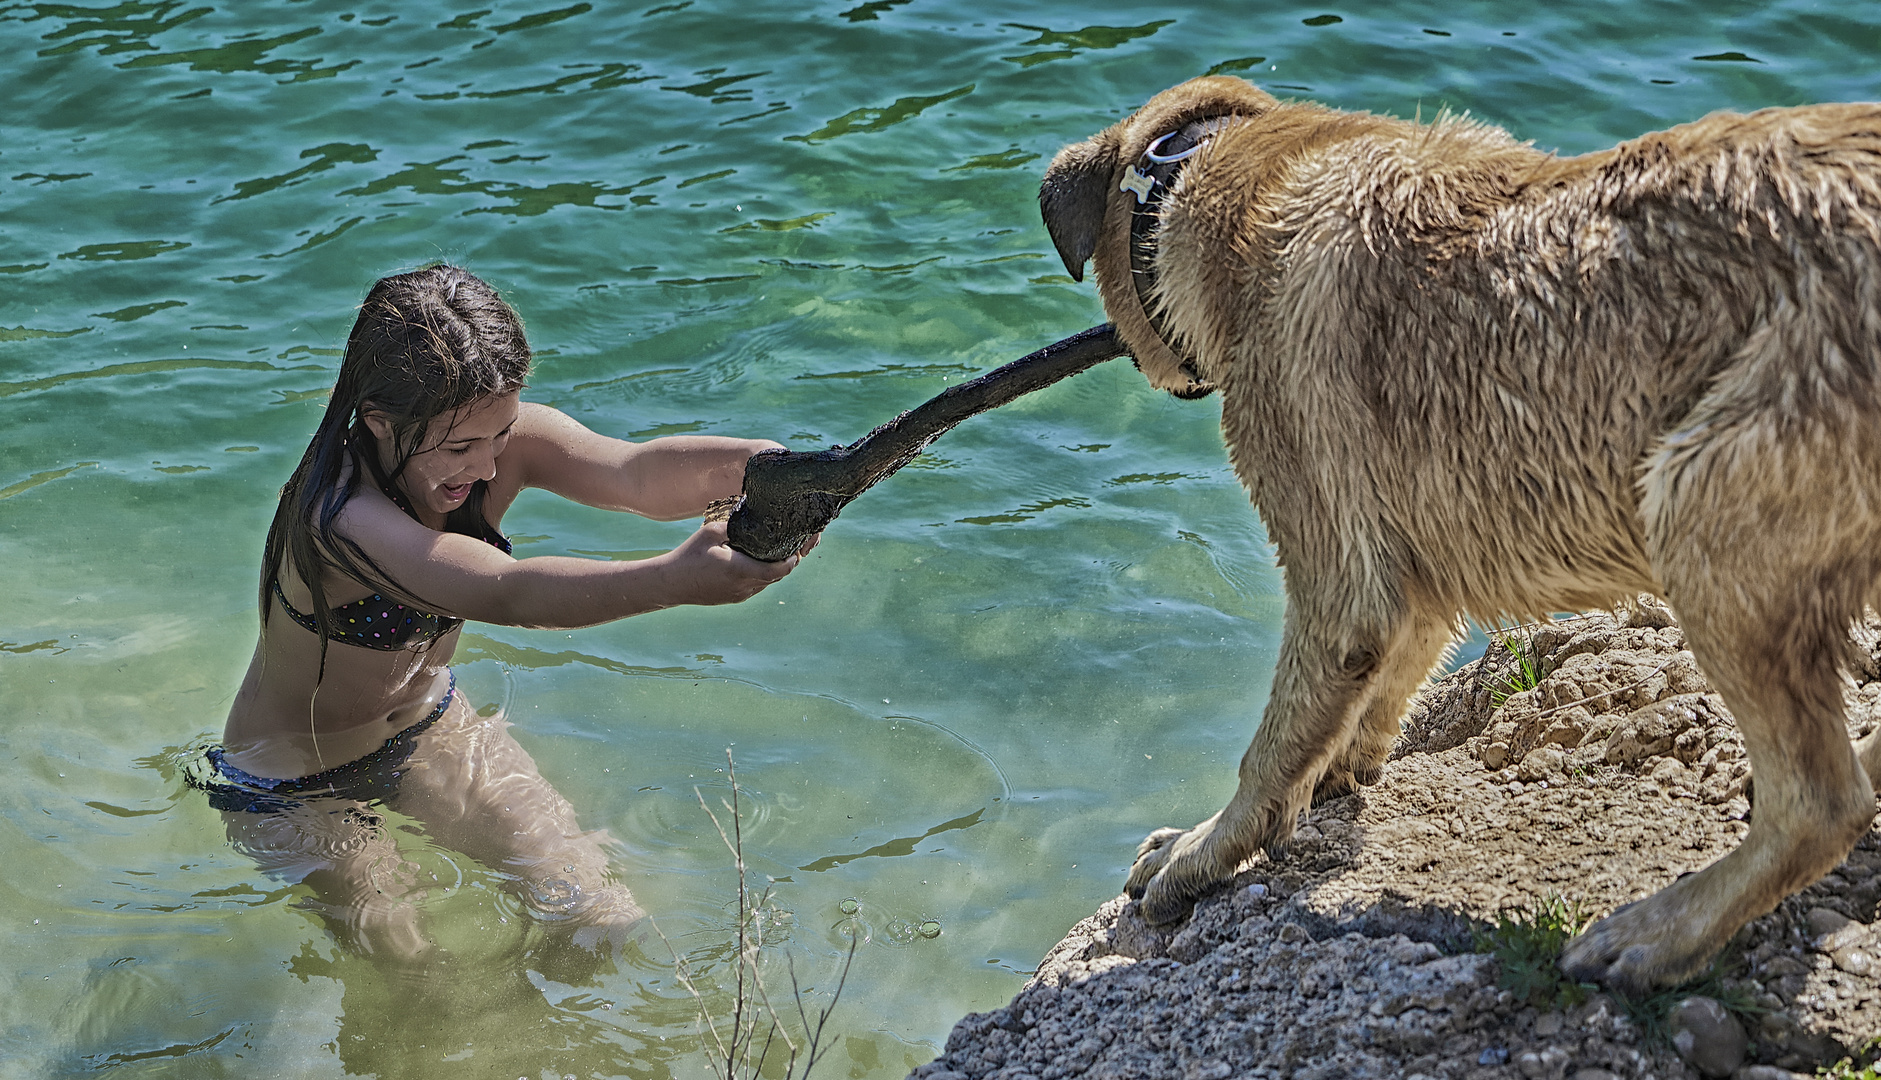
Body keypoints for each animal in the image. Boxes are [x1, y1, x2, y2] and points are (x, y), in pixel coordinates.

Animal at [1045, 71, 1881, 993]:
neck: (1249, 179)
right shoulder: (1415, 568)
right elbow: (1380, 686)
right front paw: (1338, 770)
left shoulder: (1336, 569)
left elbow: (1273, 746)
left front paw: (1201, 851)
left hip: (1700, 493)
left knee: (1818, 805)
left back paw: (1659, 933)